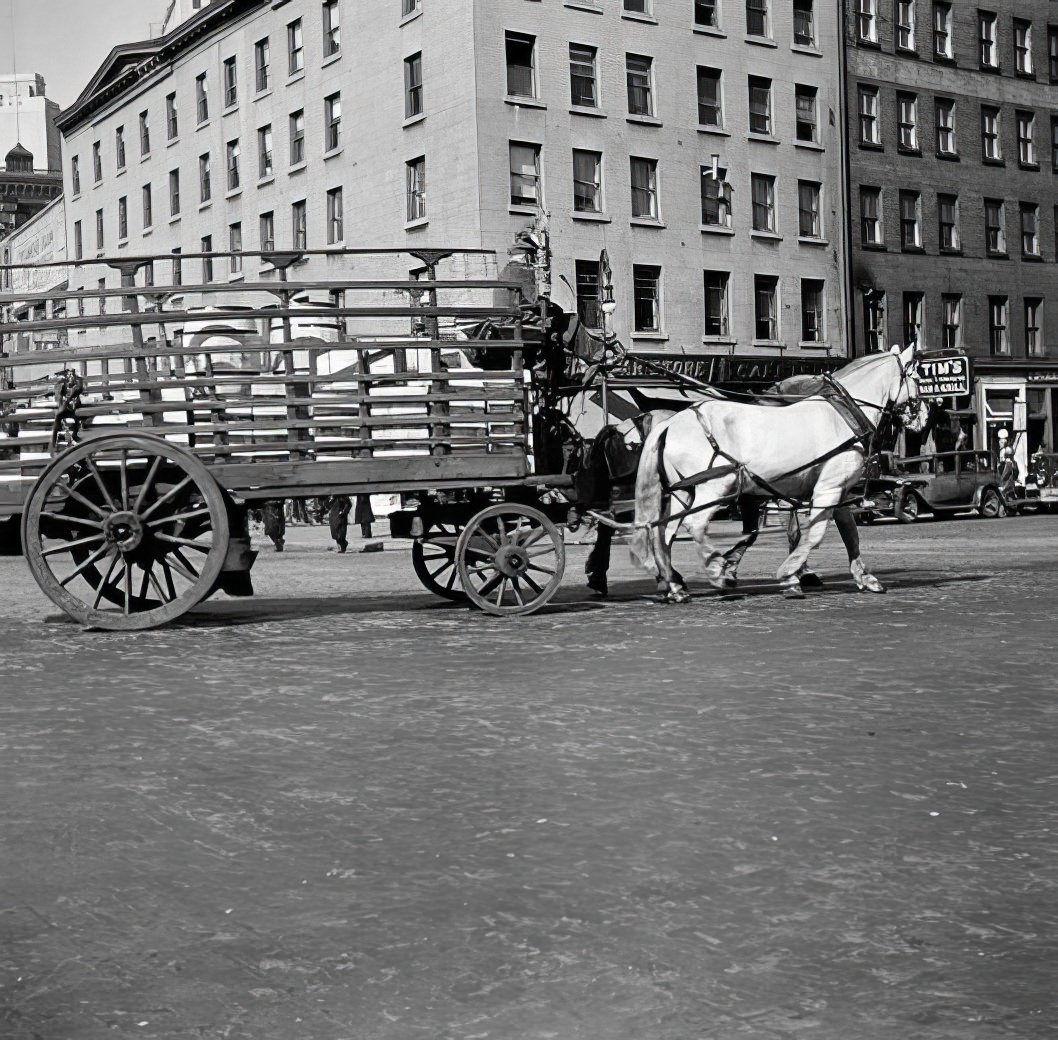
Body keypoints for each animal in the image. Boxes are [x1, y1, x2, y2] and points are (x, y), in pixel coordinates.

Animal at [630, 347, 931, 600]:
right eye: (916, 377)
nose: (925, 417)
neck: (844, 415)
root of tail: (671, 423)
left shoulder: (836, 488)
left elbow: (849, 533)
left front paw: (864, 577)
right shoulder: (828, 488)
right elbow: (814, 534)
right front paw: (789, 574)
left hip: (684, 492)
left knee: (664, 533)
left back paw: (674, 584)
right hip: (715, 487)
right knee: (694, 525)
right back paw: (715, 571)